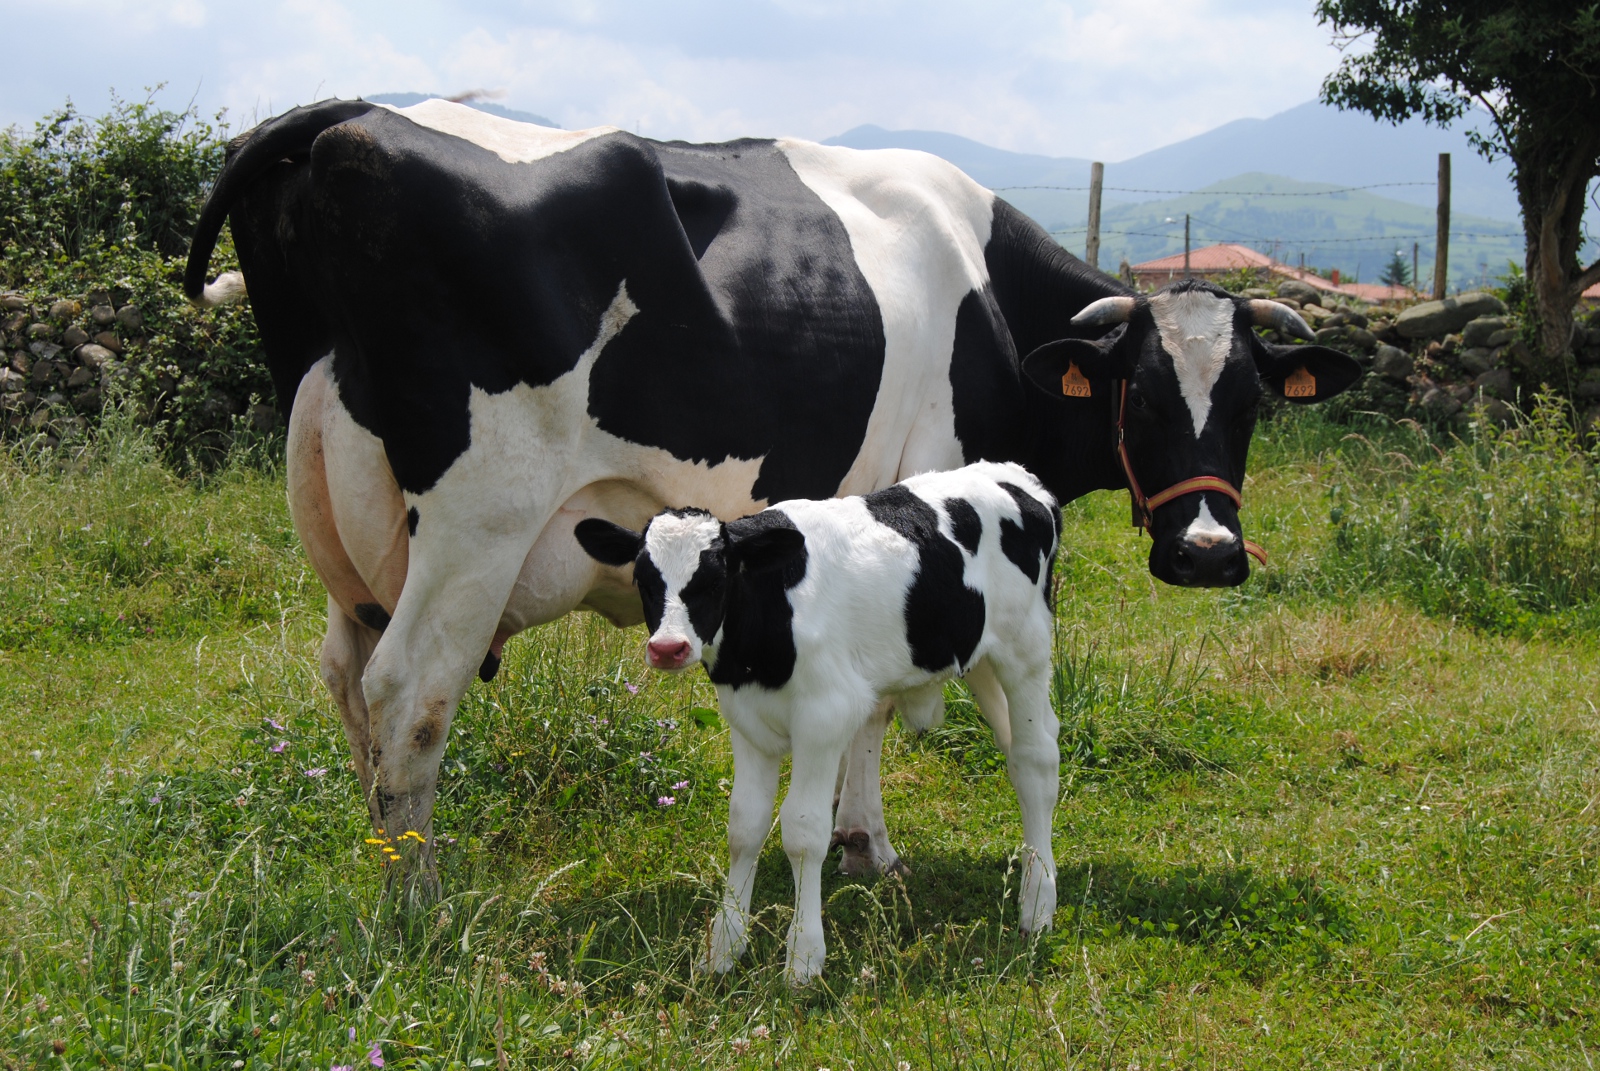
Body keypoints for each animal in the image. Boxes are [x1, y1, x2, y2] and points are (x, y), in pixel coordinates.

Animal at [187, 98, 1363, 883]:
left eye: (1252, 400)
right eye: (1144, 395)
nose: (1208, 553)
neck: (991, 302)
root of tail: (355, 118)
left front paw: (854, 836)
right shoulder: (921, 509)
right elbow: (886, 701)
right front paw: (868, 846)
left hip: (348, 537)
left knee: (346, 678)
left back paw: (379, 857)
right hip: (479, 518)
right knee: (409, 693)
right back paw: (417, 898)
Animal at [576, 454, 1062, 979]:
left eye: (716, 579)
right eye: (644, 581)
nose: (668, 648)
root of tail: (1013, 475)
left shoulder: (825, 717)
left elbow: (804, 831)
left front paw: (804, 957)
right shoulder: (747, 721)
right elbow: (744, 826)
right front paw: (724, 946)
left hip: (1025, 649)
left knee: (1035, 762)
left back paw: (1038, 905)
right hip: (980, 657)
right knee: (1022, 743)